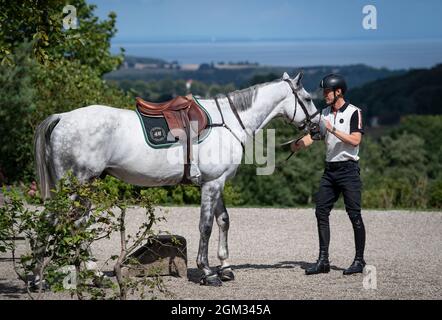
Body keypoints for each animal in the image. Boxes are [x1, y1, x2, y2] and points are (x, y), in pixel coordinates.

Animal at [33, 71, 318, 286]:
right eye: (307, 98)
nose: (316, 127)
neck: (228, 123)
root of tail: (62, 117)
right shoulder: (211, 183)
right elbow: (206, 226)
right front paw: (207, 272)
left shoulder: (218, 182)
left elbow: (223, 221)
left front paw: (225, 267)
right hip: (73, 186)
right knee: (52, 221)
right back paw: (38, 279)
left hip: (87, 186)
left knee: (78, 224)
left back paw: (91, 275)